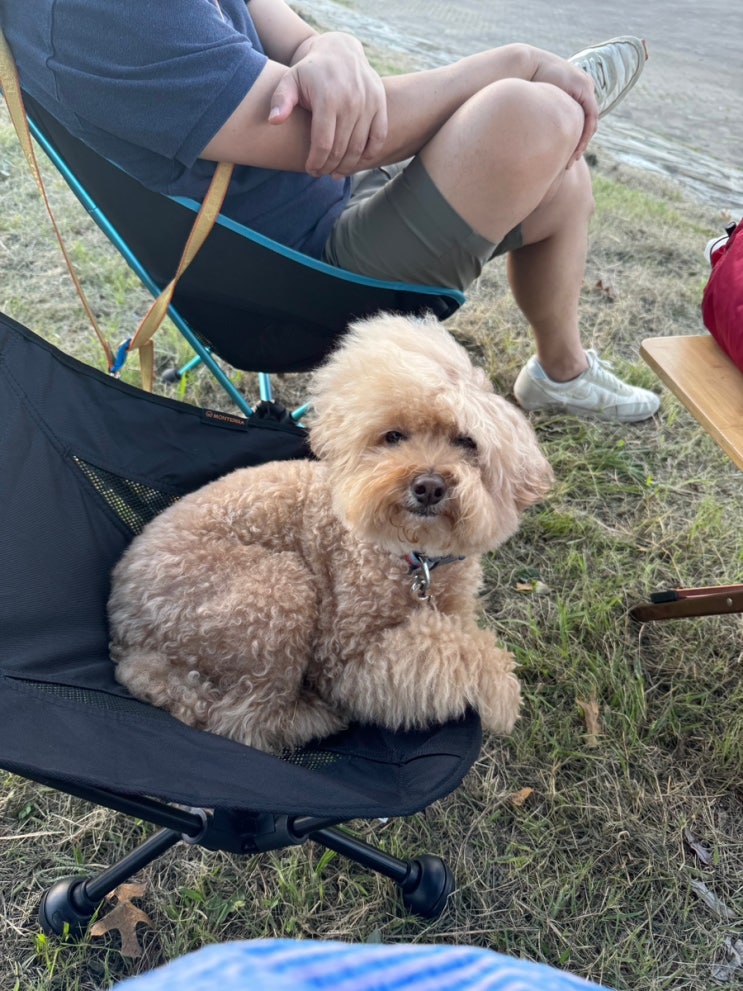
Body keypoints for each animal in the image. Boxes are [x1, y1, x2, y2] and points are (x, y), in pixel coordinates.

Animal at [108, 314, 553, 753]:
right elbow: (445, 648)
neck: (415, 557)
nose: (428, 486)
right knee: (241, 721)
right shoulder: (347, 660)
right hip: (276, 592)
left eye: (467, 442)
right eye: (393, 436)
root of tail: (127, 636)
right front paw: (502, 690)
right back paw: (311, 718)